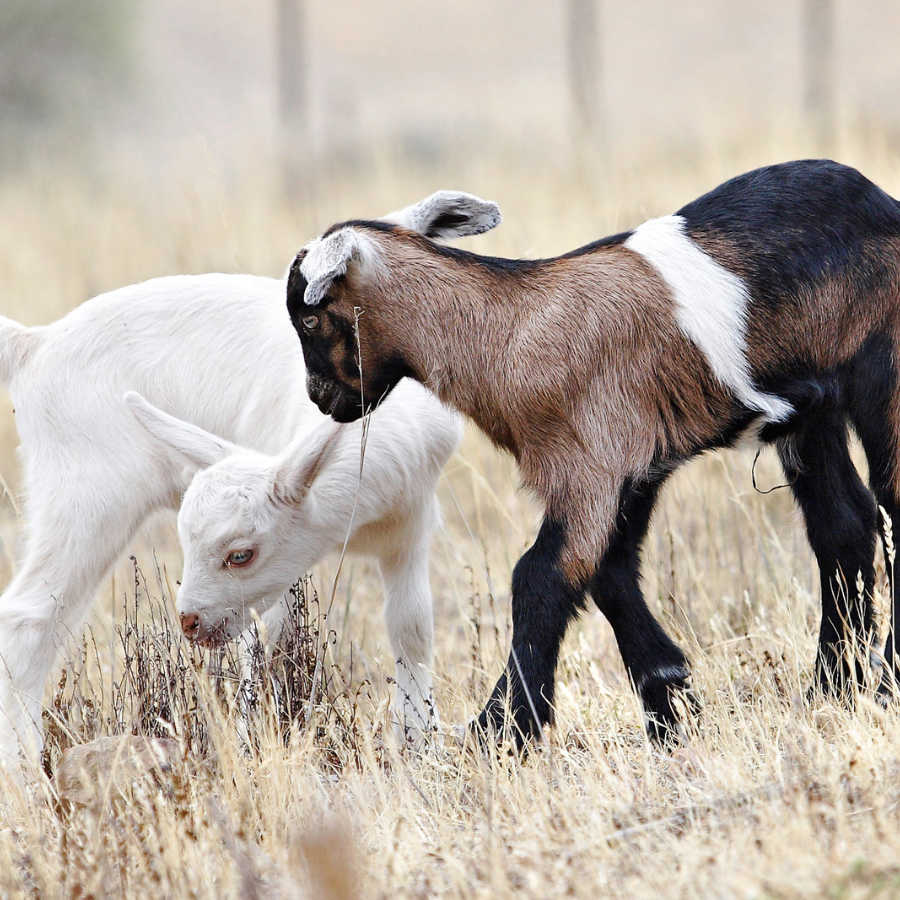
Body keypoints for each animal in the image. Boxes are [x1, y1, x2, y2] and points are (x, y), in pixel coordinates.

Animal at [284, 162, 900, 744]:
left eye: (310, 316)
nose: (320, 399)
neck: (505, 330)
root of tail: (883, 202)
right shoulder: (635, 469)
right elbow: (609, 574)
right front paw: (670, 708)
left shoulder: (590, 464)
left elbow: (540, 576)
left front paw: (502, 731)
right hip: (810, 413)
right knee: (844, 524)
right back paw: (831, 689)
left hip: (881, 374)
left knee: (888, 507)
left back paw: (883, 684)